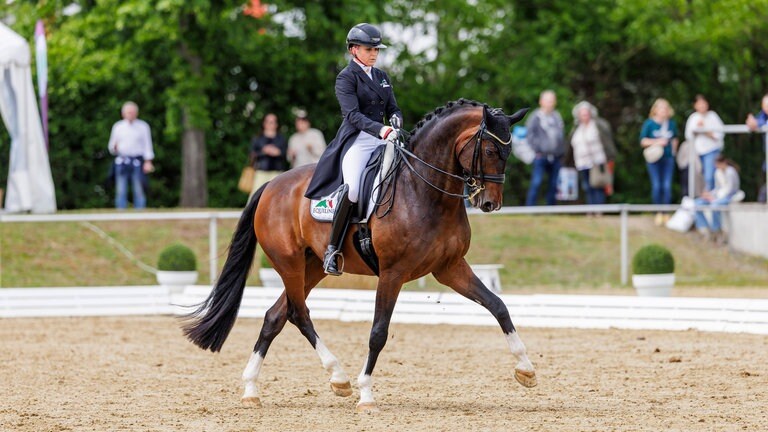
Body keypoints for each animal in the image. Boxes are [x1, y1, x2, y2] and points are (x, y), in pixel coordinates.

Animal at [183, 98, 536, 412]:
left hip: (313, 266)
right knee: (298, 313)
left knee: (275, 316)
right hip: (289, 263)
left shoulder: (450, 267)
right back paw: (338, 377)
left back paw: (252, 389)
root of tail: (271, 185)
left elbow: (498, 306)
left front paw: (526, 369)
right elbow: (378, 332)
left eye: (508, 153)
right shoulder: (393, 273)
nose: (490, 203)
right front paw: (366, 393)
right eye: (489, 151)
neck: (424, 191)